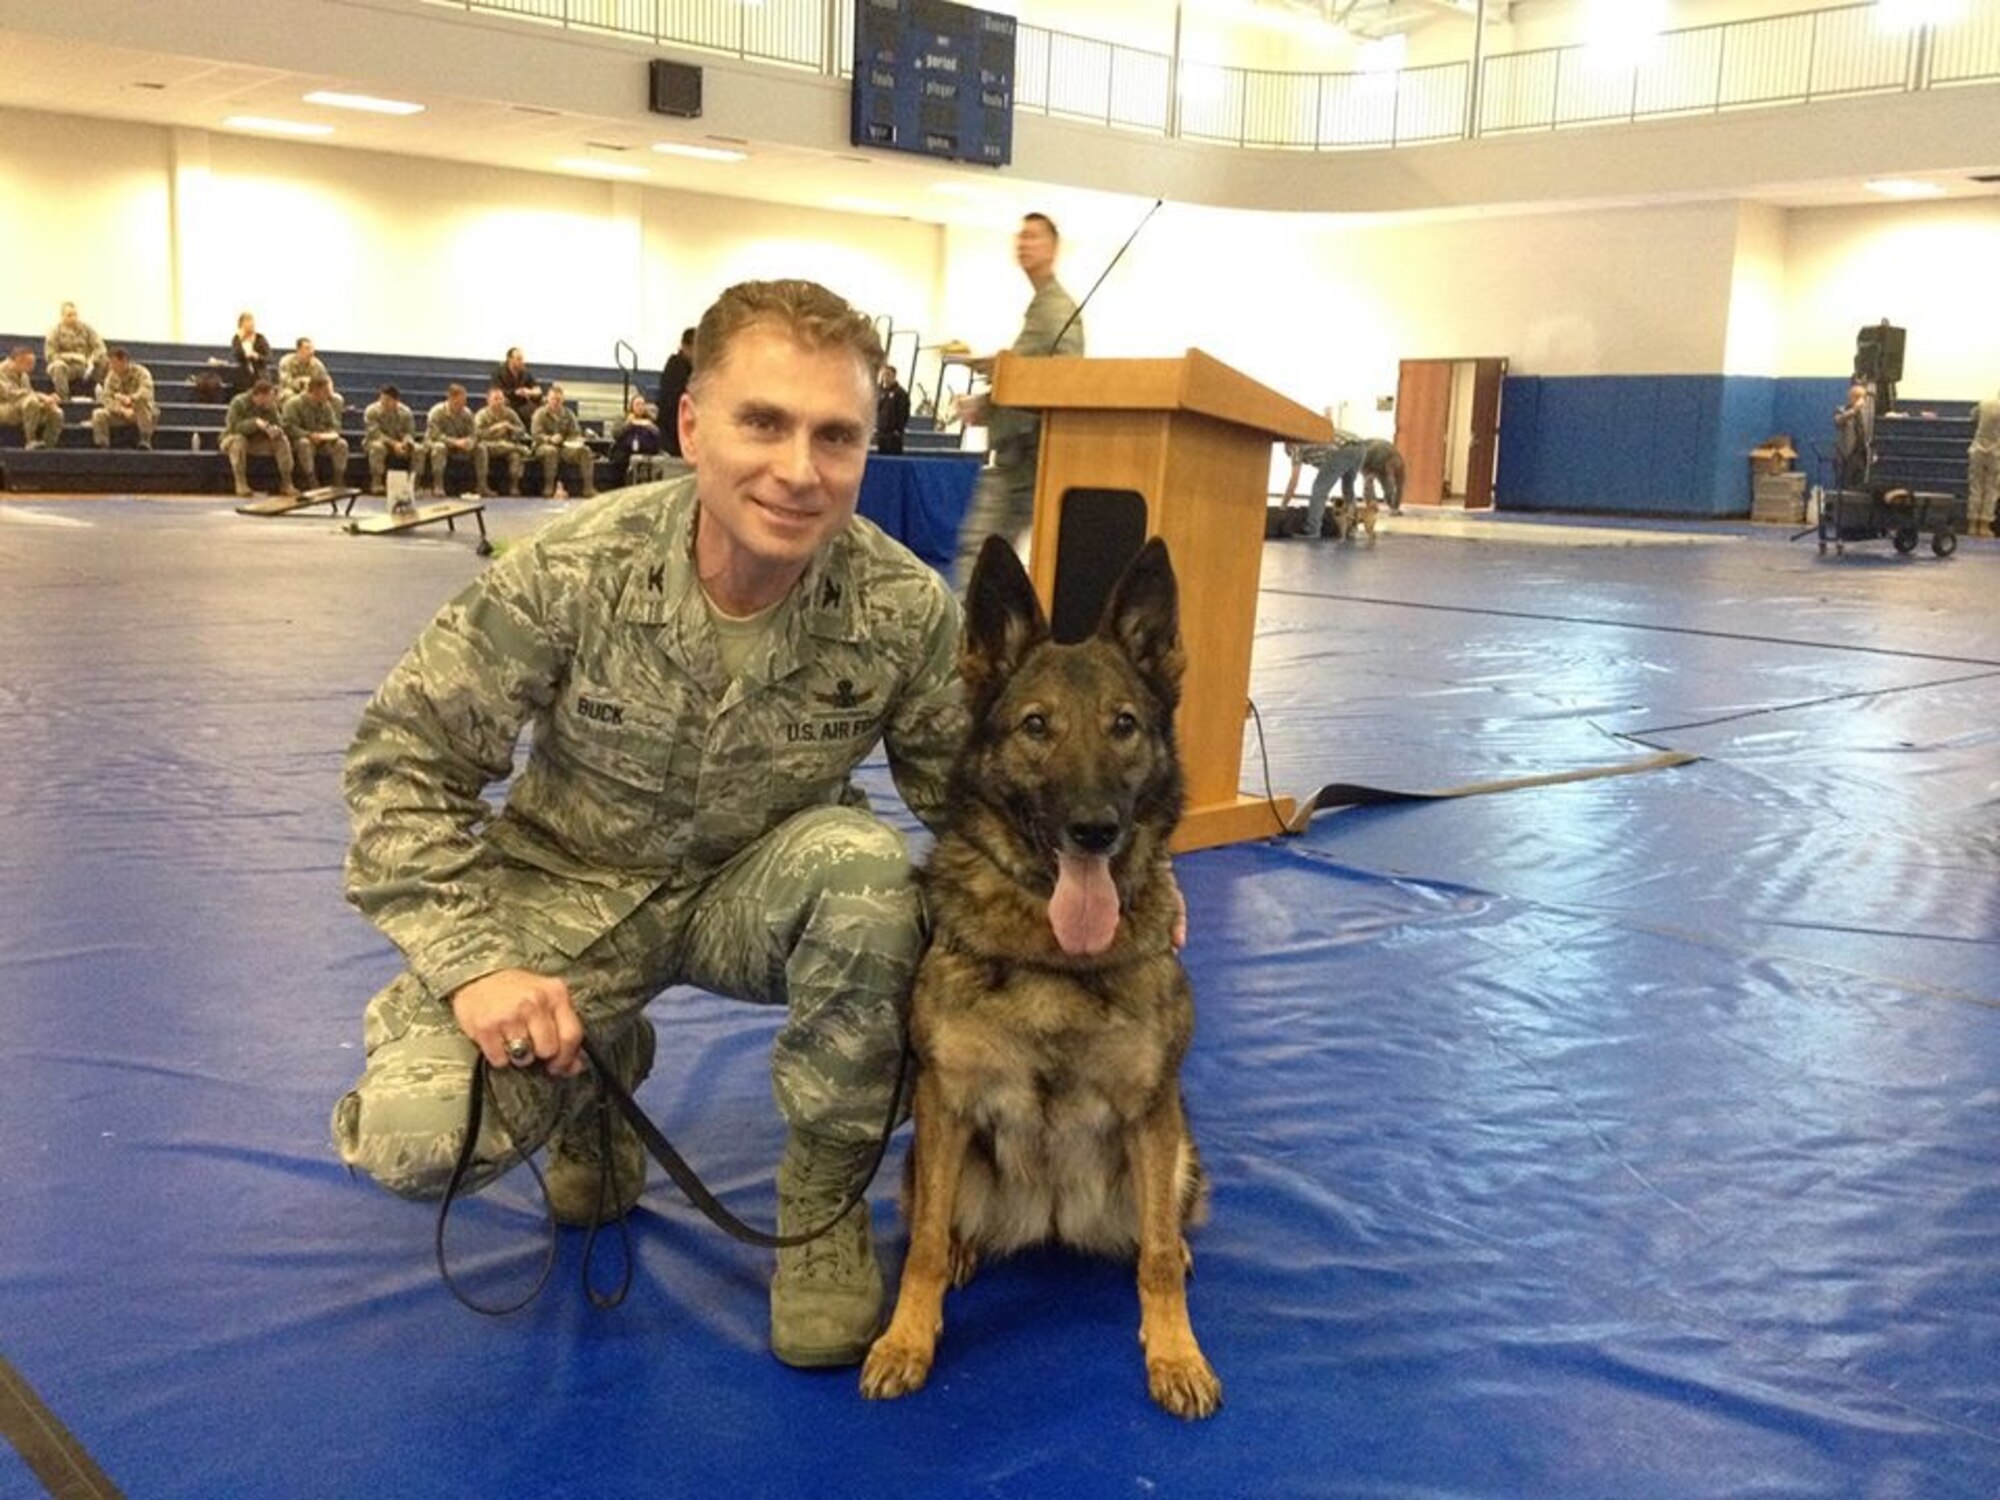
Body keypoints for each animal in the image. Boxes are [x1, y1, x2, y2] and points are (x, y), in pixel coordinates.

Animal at [860, 536, 1216, 1424]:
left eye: (1123, 726)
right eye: (1035, 727)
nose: (1095, 828)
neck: (1056, 956)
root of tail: (1053, 1218)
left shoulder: (1153, 1109)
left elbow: (1157, 1259)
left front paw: (1176, 1353)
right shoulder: (946, 1101)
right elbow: (920, 1249)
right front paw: (907, 1341)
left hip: (1181, 1152)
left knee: (1160, 1232)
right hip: (933, 1158)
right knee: (939, 1222)